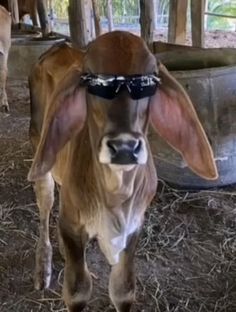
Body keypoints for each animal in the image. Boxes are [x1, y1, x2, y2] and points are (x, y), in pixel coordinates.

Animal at [27, 30, 218, 310]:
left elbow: (123, 289)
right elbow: (77, 290)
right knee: (45, 206)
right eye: (95, 82)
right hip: (40, 154)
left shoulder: (134, 227)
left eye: (147, 82)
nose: (125, 147)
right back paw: (43, 267)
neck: (116, 194)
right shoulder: (72, 226)